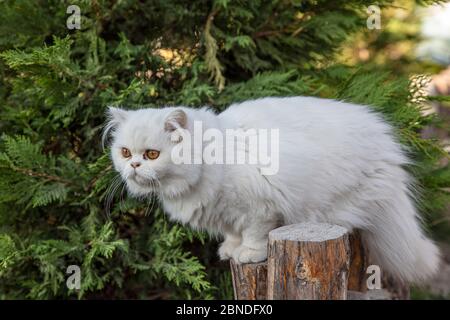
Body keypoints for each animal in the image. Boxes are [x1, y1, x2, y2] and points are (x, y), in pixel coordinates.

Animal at [104, 97, 440, 282]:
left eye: (152, 155)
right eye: (125, 152)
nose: (134, 165)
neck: (213, 158)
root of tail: (388, 150)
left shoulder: (260, 208)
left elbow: (254, 235)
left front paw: (248, 255)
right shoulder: (227, 213)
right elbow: (232, 233)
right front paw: (230, 250)